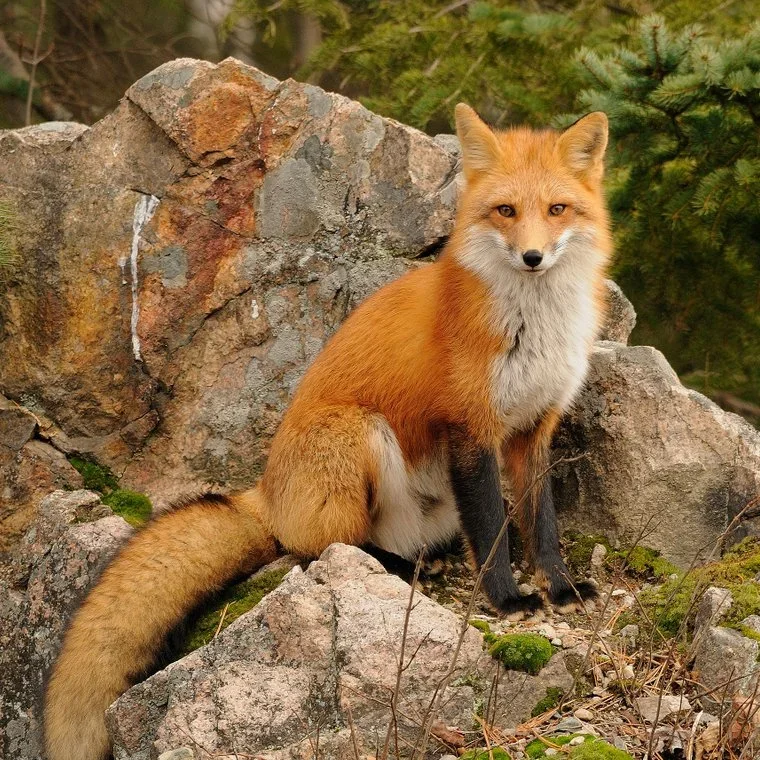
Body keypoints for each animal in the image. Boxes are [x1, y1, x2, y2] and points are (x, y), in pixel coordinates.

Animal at [43, 104, 611, 760]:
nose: (532, 258)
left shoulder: (535, 428)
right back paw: (389, 568)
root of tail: (266, 491)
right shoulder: (471, 429)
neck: (533, 326)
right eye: (506, 212)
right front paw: (507, 598)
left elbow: (542, 523)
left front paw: (560, 587)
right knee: (323, 546)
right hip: (358, 432)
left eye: (557, 209)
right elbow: (493, 529)